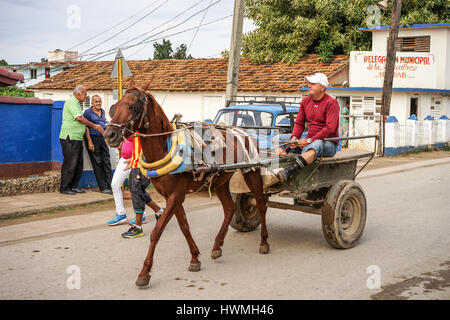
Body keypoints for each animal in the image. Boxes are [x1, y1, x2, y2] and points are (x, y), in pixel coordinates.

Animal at [103, 80, 268, 288]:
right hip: (220, 180)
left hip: (252, 172)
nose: (110, 135)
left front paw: (145, 272)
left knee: (261, 204)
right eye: (115, 107)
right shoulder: (172, 196)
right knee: (230, 208)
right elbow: (184, 227)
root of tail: (245, 132)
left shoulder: (176, 196)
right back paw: (217, 246)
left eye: (134, 106)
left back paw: (264, 242)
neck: (165, 148)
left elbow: (157, 232)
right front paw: (195, 258)